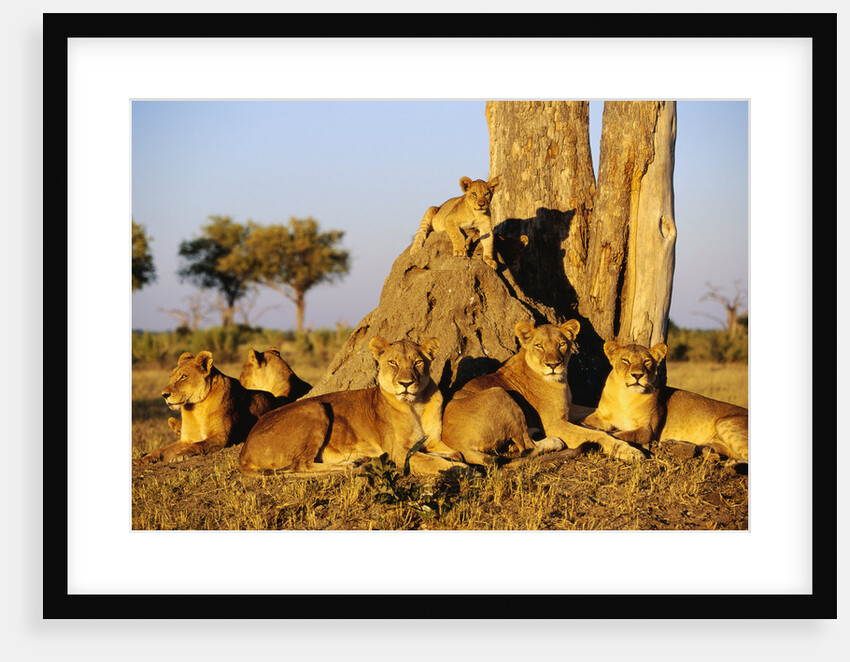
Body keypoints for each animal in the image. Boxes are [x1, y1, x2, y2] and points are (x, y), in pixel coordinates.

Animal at [136, 351, 276, 465]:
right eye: (171, 377)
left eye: (183, 377)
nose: (164, 395)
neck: (196, 407)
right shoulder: (185, 440)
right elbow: (161, 449)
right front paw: (142, 459)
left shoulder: (221, 437)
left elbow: (197, 444)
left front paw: (180, 455)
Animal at [238, 337, 468, 476]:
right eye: (393, 363)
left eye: (417, 362)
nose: (406, 383)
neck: (416, 405)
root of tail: (244, 451)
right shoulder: (399, 452)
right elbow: (438, 464)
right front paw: (463, 470)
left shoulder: (434, 442)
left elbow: (455, 453)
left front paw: (453, 458)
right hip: (316, 407)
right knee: (299, 466)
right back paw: (349, 465)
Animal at [443, 321, 646, 462]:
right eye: (539, 346)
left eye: (561, 344)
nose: (553, 365)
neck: (560, 381)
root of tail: (456, 443)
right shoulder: (554, 423)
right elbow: (598, 435)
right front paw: (628, 450)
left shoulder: (569, 407)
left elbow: (595, 412)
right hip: (499, 393)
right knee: (528, 448)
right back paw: (553, 441)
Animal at [578, 341, 748, 462]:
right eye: (625, 360)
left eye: (646, 361)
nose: (637, 375)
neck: (625, 396)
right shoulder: (601, 416)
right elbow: (583, 421)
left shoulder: (647, 430)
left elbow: (621, 434)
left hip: (725, 424)